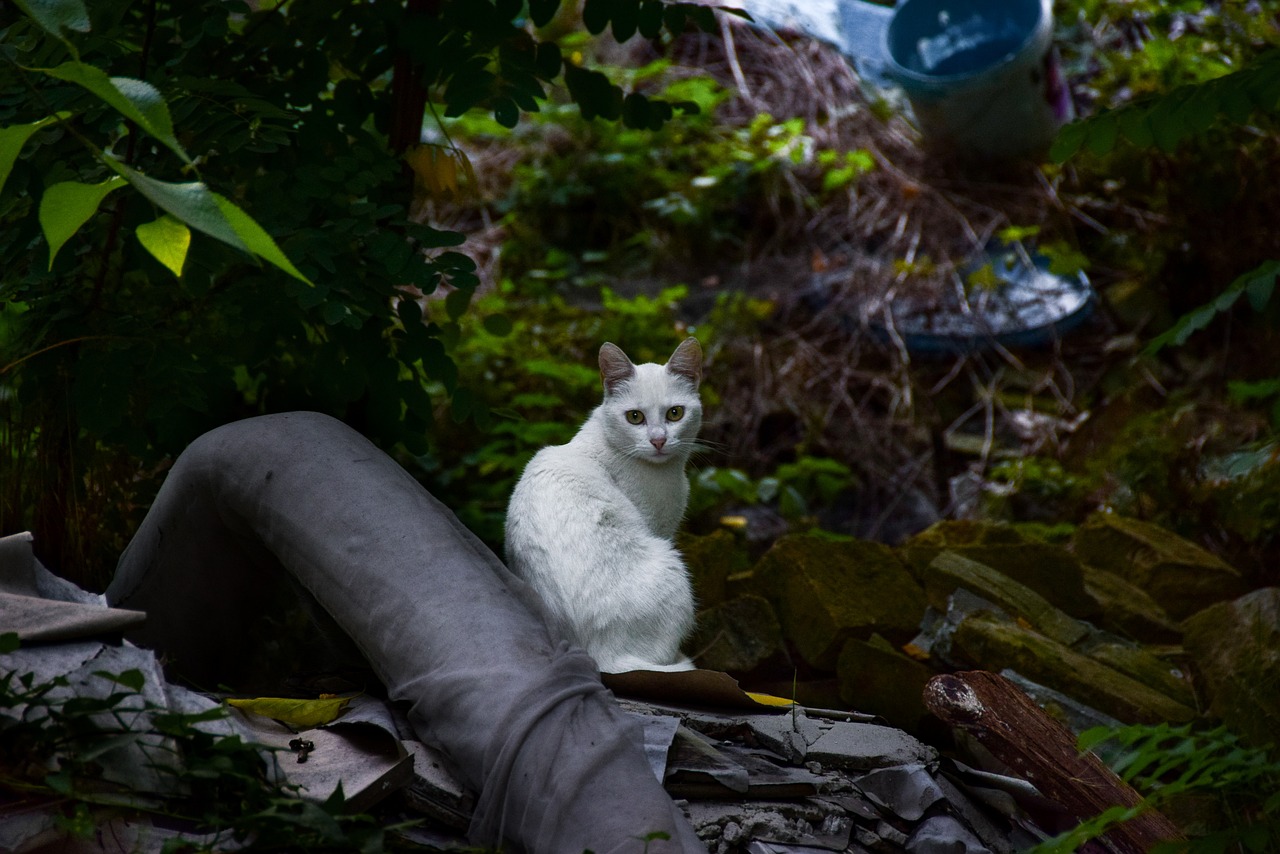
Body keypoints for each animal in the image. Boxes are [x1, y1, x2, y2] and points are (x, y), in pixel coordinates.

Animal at [501, 338, 706, 670]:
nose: (658, 440)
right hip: (670, 564)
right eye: (635, 417)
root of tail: (597, 655)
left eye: (675, 413)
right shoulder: (660, 527)